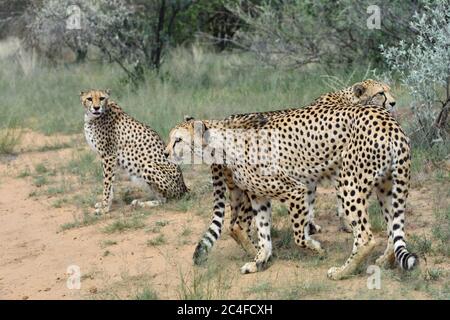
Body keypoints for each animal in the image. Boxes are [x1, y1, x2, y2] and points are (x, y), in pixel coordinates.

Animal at [165, 82, 414, 280]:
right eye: (381, 93)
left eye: (178, 140)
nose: (166, 153)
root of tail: (390, 124)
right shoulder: (260, 196)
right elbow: (264, 232)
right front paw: (260, 260)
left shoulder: (296, 189)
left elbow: (298, 234)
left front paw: (314, 246)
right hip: (385, 186)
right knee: (392, 228)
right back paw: (383, 261)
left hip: (350, 183)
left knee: (366, 237)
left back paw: (343, 271)